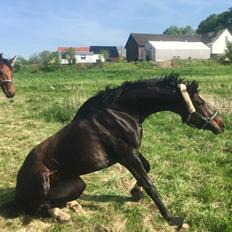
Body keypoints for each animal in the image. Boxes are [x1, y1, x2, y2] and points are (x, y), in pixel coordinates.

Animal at [14, 73, 223, 229]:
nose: (221, 124)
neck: (122, 113)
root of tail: (17, 188)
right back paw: (61, 215)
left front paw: (135, 192)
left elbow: (147, 168)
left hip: (78, 183)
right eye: (200, 102)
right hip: (43, 182)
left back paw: (72, 205)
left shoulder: (133, 151)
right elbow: (150, 185)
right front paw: (173, 219)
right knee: (38, 207)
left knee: (52, 201)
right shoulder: (127, 156)